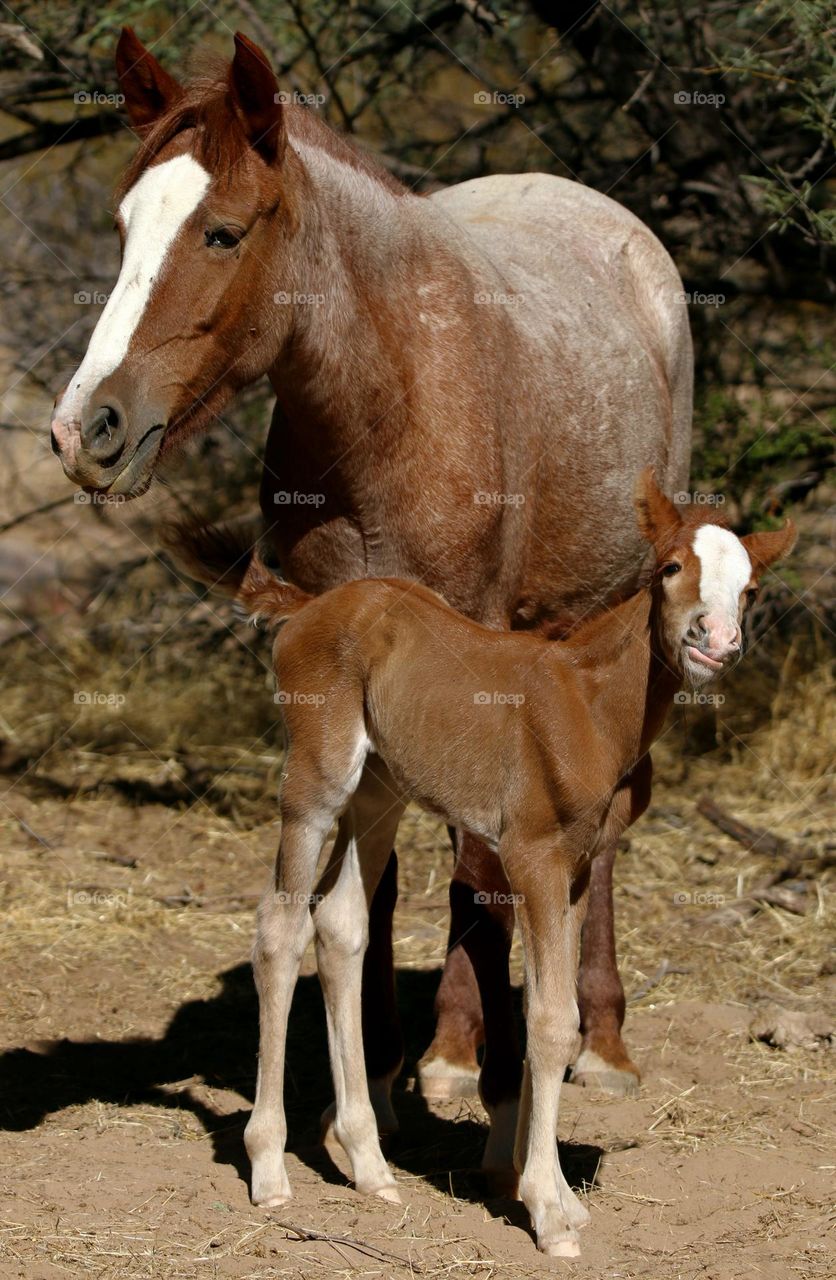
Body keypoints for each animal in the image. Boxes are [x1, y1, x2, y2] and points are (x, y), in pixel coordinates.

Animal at [49, 27, 693, 1174]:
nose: (88, 429)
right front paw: (381, 1082)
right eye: (124, 223)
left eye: (221, 231)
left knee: (606, 824)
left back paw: (593, 1037)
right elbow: (370, 883)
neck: (387, 406)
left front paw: (494, 1090)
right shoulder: (346, 664)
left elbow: (480, 868)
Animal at [168, 470, 795, 1256]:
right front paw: (548, 1212)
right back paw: (270, 1171)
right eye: (672, 568)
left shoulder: (574, 872)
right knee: (279, 931)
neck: (590, 703)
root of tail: (311, 604)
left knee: (340, 926)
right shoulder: (531, 857)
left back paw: (371, 1166)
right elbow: (552, 1022)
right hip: (318, 777)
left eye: (749, 589)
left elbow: (546, 1014)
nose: (717, 642)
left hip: (381, 789)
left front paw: (554, 1194)